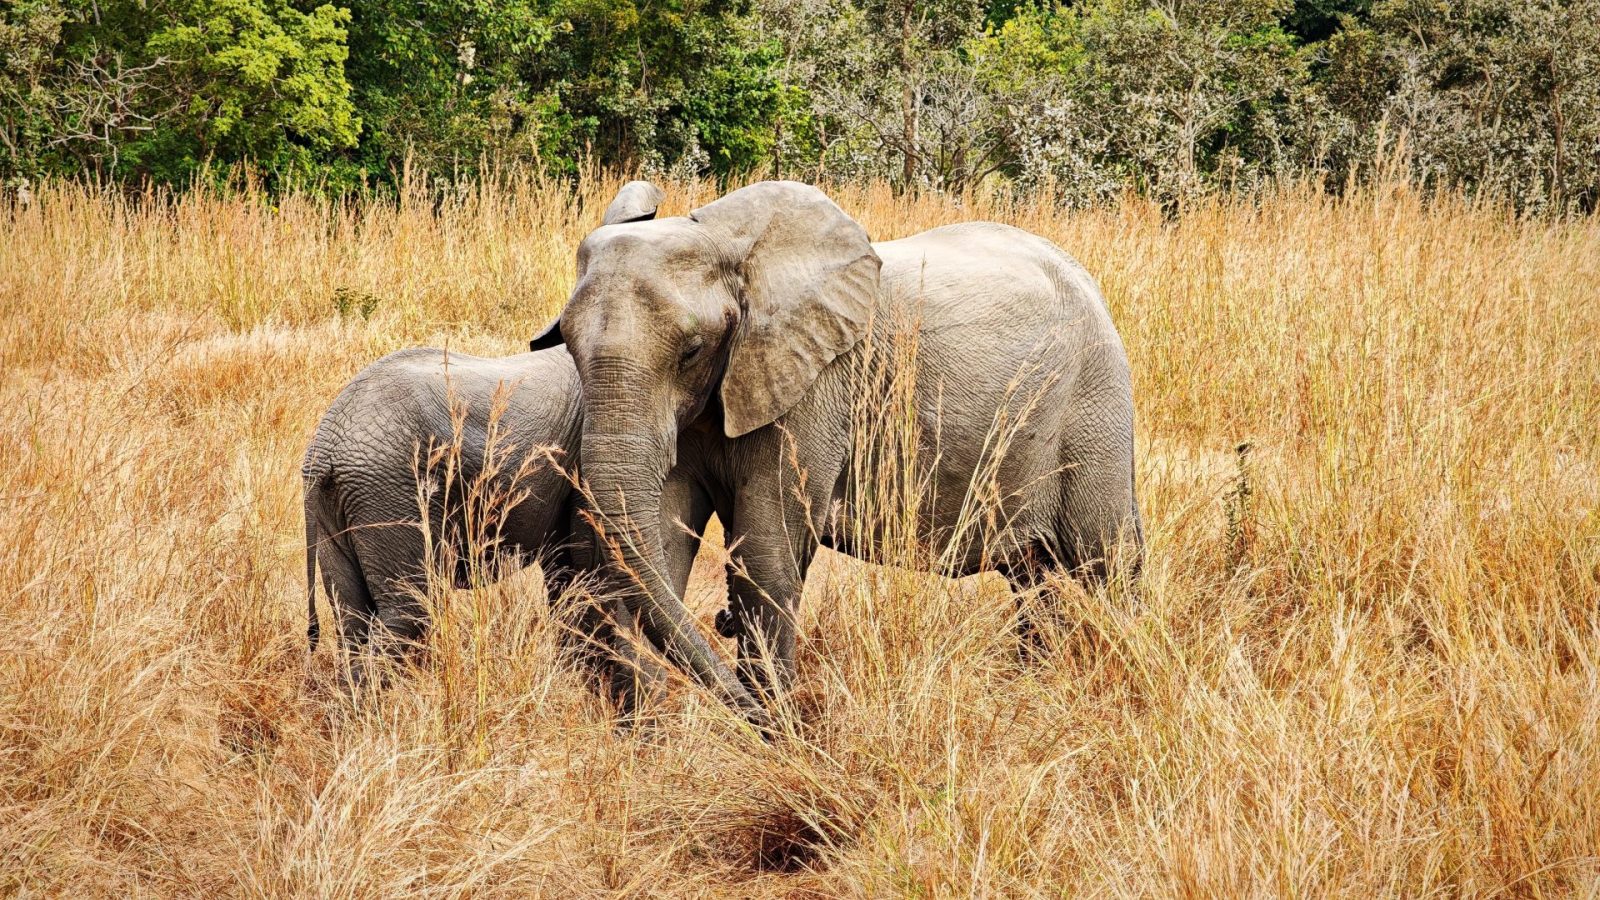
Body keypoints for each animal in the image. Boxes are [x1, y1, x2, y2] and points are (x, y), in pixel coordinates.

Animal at [528, 180, 1143, 724]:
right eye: (570, 347)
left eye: (692, 350)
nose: (719, 624)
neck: (728, 246)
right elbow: (664, 538)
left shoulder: (815, 385)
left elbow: (766, 558)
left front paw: (775, 730)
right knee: (1035, 579)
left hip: (1093, 405)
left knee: (1103, 561)